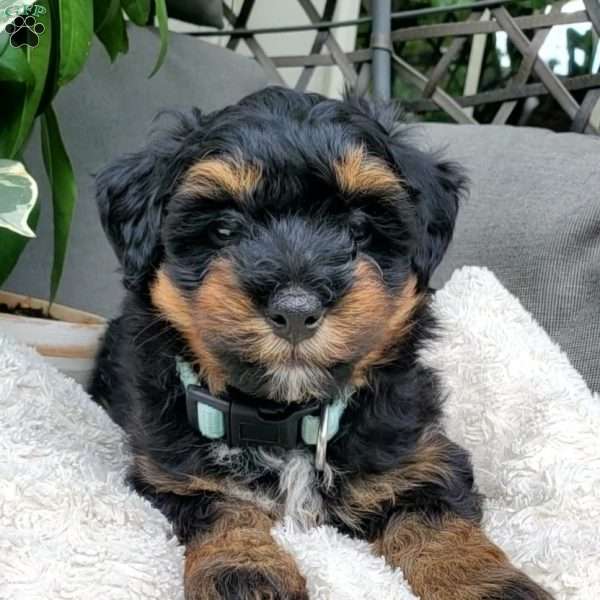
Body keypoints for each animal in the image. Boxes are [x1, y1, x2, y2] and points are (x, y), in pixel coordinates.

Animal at [90, 85, 552, 600]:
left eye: (358, 228)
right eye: (225, 228)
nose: (295, 310)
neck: (287, 418)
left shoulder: (417, 458)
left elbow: (438, 522)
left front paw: (482, 581)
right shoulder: (172, 474)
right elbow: (223, 508)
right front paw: (245, 572)